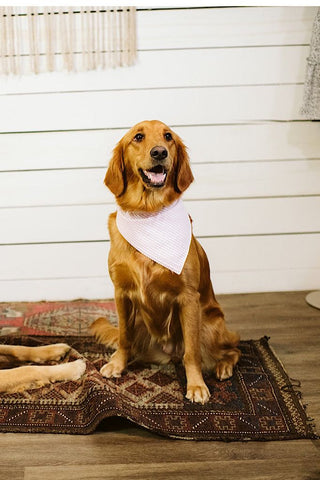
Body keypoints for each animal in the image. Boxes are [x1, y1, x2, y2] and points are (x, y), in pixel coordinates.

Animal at [90, 121, 240, 404]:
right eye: (138, 137)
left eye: (168, 136)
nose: (160, 152)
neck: (148, 212)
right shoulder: (121, 293)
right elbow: (123, 337)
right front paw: (118, 364)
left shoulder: (189, 298)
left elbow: (192, 352)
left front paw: (196, 385)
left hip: (211, 324)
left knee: (233, 347)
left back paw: (223, 367)